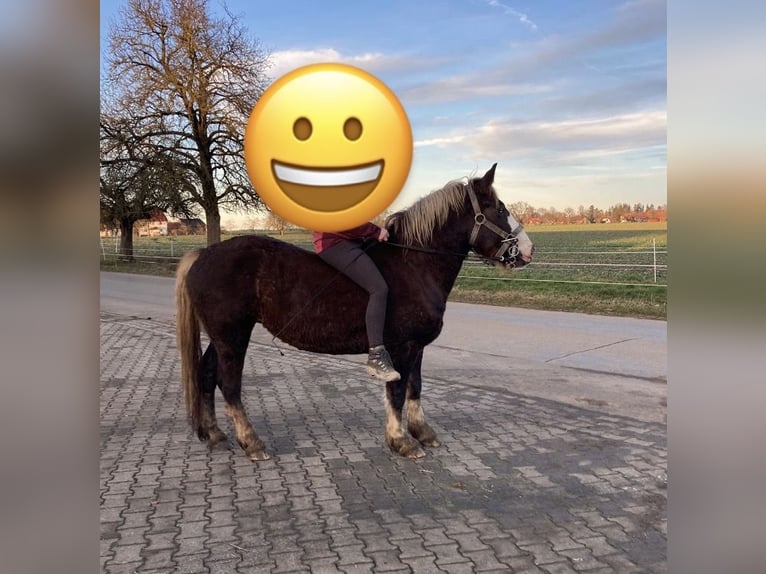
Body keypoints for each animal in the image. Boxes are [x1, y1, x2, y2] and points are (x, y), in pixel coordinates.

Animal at [175, 164, 534, 461]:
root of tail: (204, 254)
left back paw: (215, 435)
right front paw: (401, 440)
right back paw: (251, 442)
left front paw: (422, 432)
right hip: (233, 337)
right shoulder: (401, 347)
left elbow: (416, 387)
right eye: (499, 209)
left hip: (222, 337)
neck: (414, 263)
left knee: (207, 375)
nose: (528, 250)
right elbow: (397, 391)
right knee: (229, 385)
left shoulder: (417, 347)